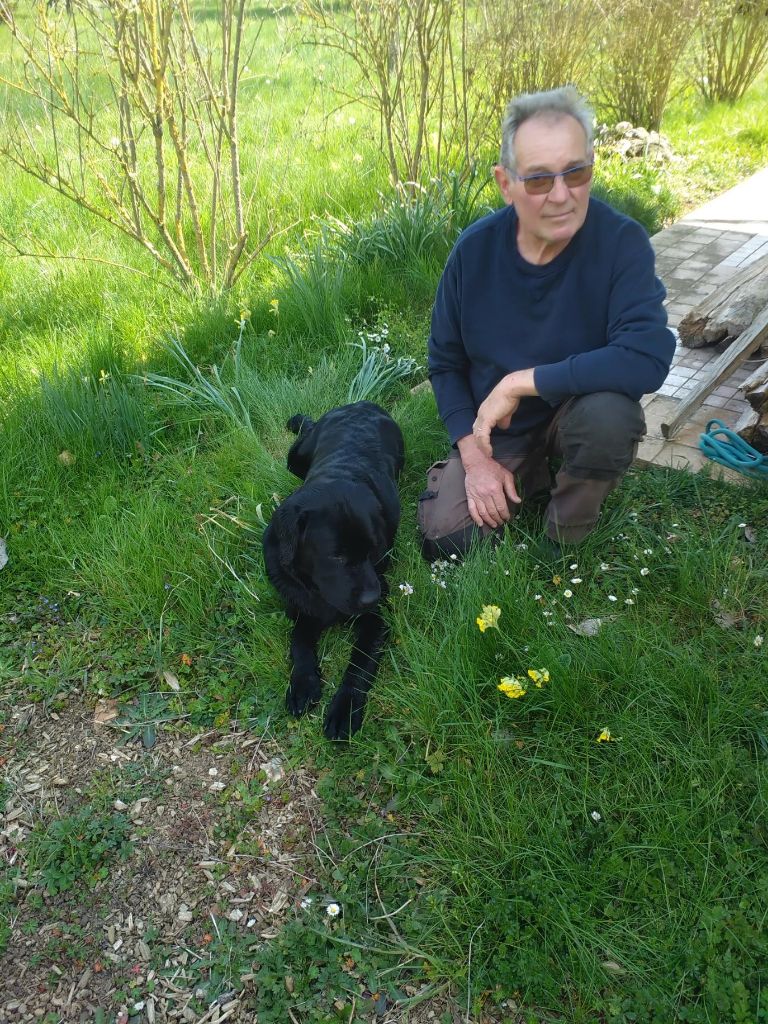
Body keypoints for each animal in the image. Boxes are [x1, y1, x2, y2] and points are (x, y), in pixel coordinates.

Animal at [264, 401, 405, 745]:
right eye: (336, 556)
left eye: (371, 549)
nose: (371, 597)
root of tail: (362, 403)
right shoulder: (300, 608)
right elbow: (298, 643)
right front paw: (303, 684)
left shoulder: (377, 619)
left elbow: (359, 665)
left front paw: (344, 710)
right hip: (296, 457)